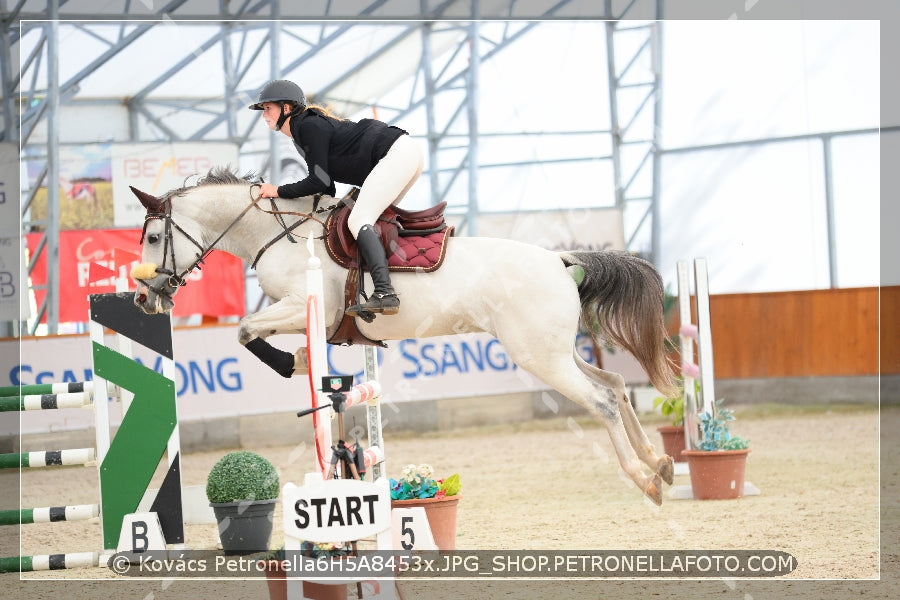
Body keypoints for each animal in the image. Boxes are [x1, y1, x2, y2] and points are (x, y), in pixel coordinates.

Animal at [126, 166, 676, 504]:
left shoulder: (310, 307)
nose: (143, 299)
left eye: (153, 237)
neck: (278, 233)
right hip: (553, 351)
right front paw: (301, 359)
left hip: (540, 356)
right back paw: (661, 462)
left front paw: (295, 362)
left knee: (600, 401)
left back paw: (645, 480)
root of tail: (559, 260)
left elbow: (243, 330)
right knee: (615, 387)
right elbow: (247, 332)